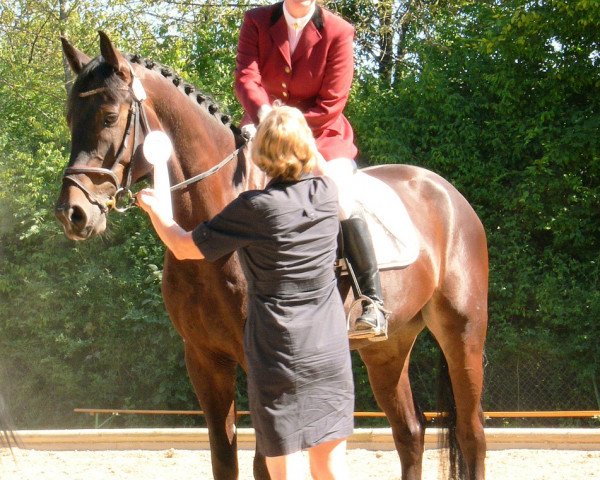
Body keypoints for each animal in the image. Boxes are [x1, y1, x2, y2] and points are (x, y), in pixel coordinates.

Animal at [55, 31, 488, 478]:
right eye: (71, 119)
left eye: (109, 116)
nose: (72, 213)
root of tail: (445, 191)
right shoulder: (205, 360)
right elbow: (224, 457)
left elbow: (267, 462)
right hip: (388, 346)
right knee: (410, 431)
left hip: (464, 332)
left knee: (471, 433)